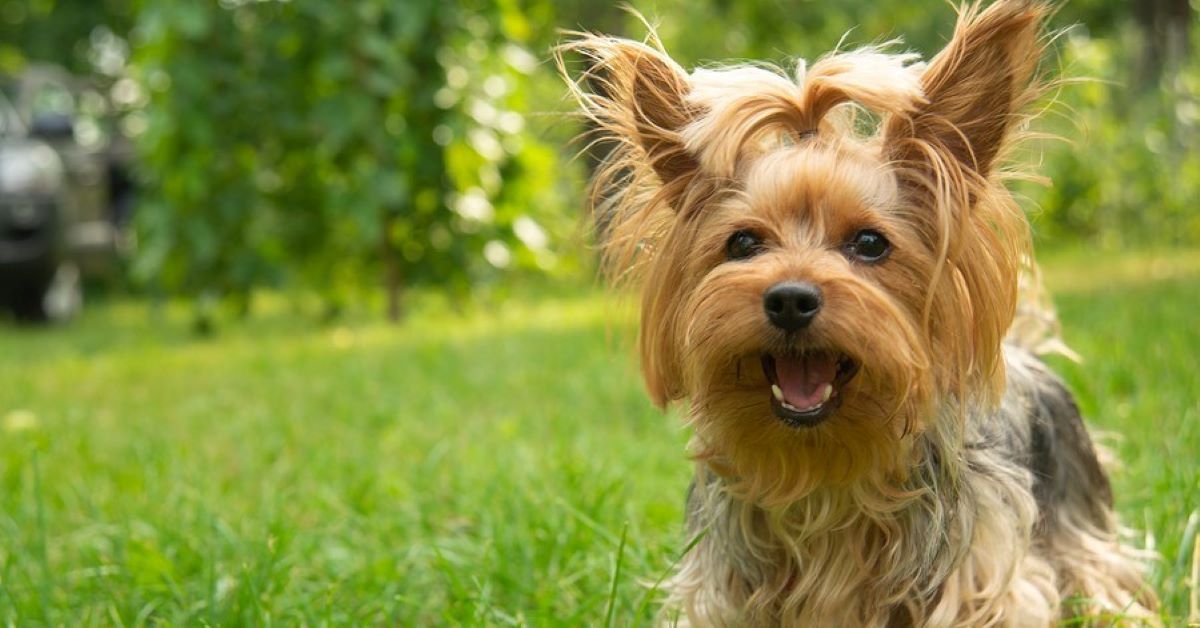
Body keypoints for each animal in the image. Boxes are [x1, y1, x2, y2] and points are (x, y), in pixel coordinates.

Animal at [561, 2, 1161, 624]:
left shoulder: (983, 581)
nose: (789, 299)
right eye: (743, 243)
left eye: (871, 243)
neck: (827, 473)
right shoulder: (723, 590)